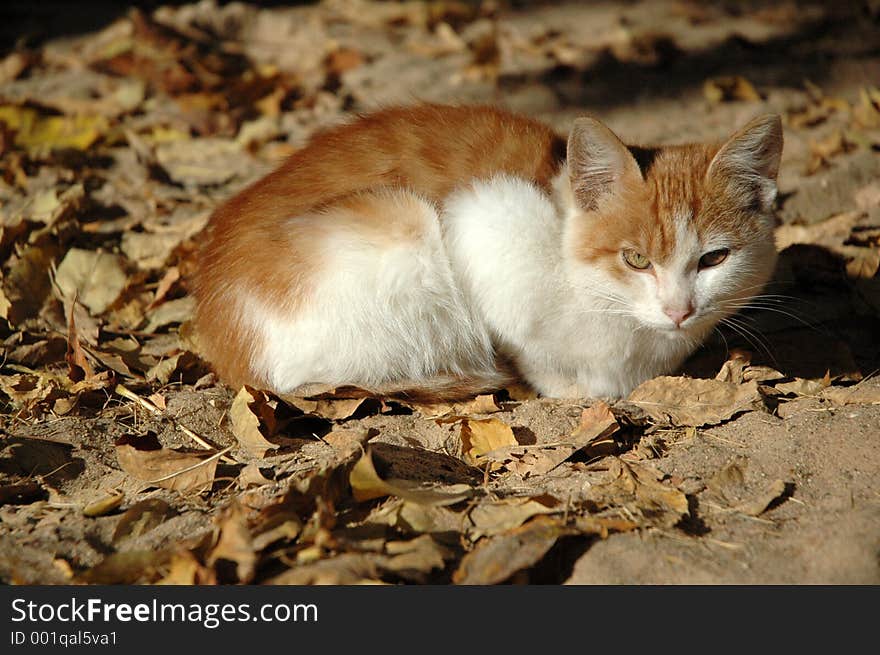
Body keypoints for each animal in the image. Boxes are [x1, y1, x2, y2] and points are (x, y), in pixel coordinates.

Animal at [192, 104, 784, 400]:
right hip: (401, 222)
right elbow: (533, 352)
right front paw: (567, 385)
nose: (679, 311)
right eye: (636, 259)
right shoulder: (484, 221)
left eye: (713, 259)